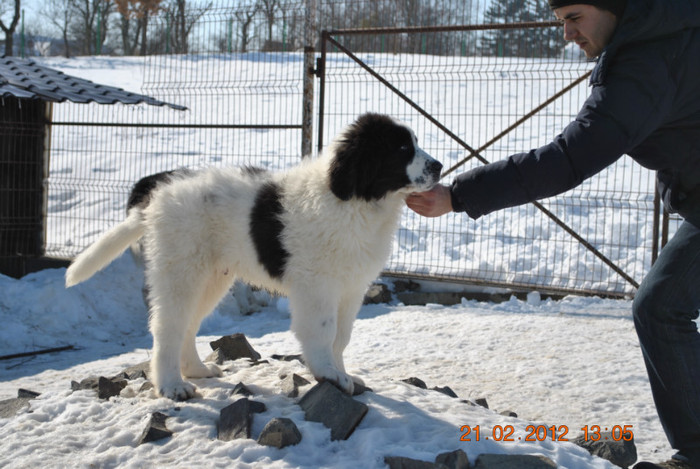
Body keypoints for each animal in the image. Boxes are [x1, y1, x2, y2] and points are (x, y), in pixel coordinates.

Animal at [63, 113, 440, 398]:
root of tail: (155, 198)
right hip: (181, 270)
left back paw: (195, 370)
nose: (438, 166)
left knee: (187, 323)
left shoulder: (351, 287)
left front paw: (344, 374)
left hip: (210, 277)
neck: (356, 199)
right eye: (402, 148)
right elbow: (323, 330)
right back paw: (172, 386)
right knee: (167, 326)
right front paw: (328, 374)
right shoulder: (317, 285)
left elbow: (341, 336)